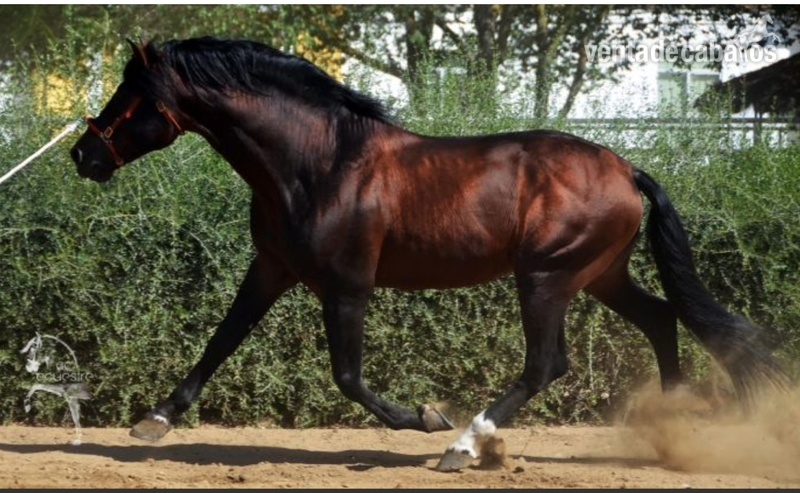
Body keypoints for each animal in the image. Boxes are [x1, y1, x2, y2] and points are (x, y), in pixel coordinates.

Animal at [69, 37, 787, 471]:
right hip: (599, 274)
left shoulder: (347, 286)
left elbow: (348, 376)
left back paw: (463, 444)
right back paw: (674, 430)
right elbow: (221, 339)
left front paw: (424, 416)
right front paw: (154, 419)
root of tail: (624, 167)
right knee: (662, 319)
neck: (319, 163)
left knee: (546, 364)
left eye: (132, 94)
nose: (83, 154)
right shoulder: (271, 269)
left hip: (547, 275)